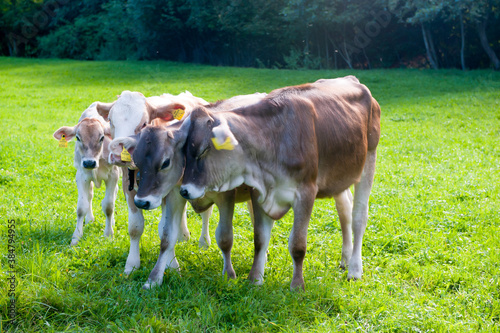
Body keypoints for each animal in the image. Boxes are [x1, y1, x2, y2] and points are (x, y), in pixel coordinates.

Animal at [53, 102, 119, 245]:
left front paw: (108, 234)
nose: (89, 162)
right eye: (78, 138)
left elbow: (109, 205)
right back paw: (89, 219)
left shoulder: (113, 175)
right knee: (90, 194)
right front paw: (76, 237)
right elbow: (81, 206)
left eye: (102, 138)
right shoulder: (81, 175)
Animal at [95, 89, 209, 274]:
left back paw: (204, 242)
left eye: (143, 124)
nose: (118, 154)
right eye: (111, 121)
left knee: (206, 213)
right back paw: (183, 235)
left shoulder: (171, 190)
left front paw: (171, 265)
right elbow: (135, 227)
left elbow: (165, 229)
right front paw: (132, 264)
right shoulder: (129, 187)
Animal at [178, 76, 380, 290]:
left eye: (203, 150)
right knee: (344, 212)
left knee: (359, 217)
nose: (184, 190)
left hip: (370, 156)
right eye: (184, 151)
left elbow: (298, 245)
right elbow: (260, 239)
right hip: (339, 175)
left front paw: (297, 286)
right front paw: (255, 279)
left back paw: (354, 269)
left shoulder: (306, 192)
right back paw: (345, 259)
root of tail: (351, 79)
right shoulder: (259, 193)